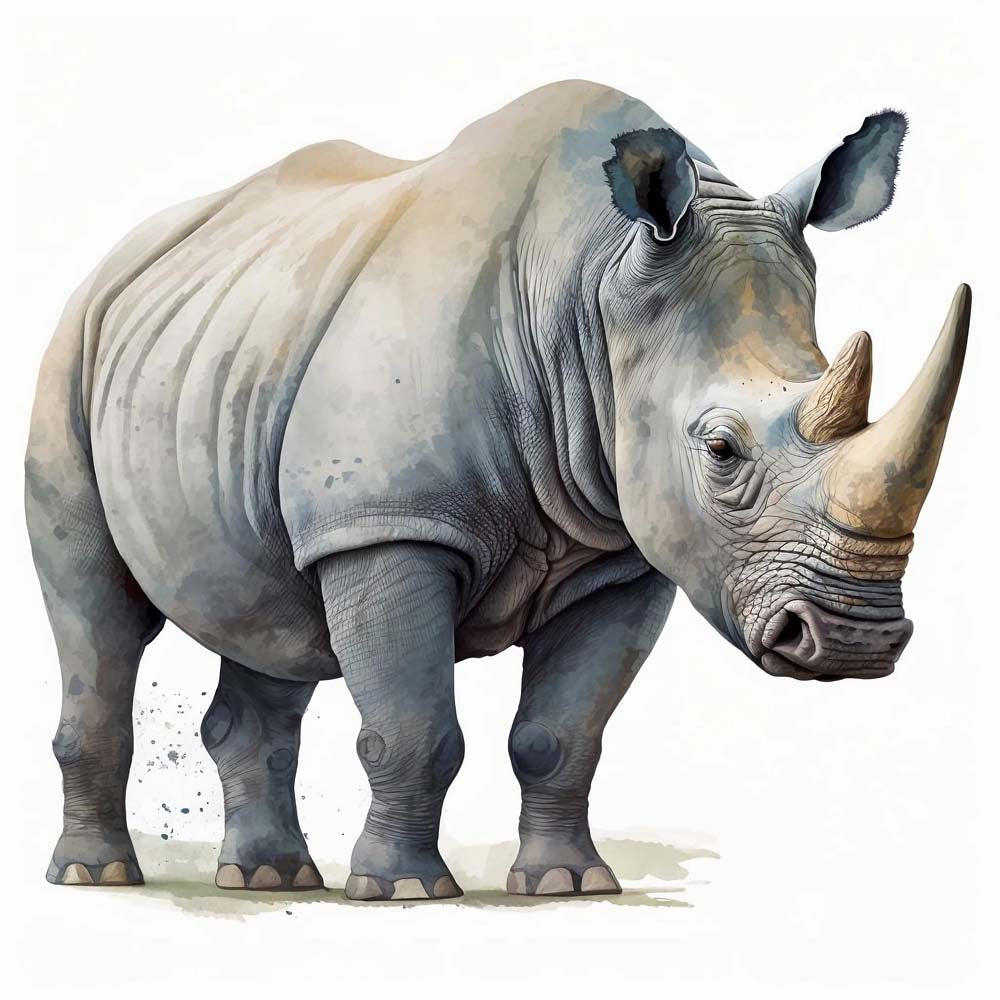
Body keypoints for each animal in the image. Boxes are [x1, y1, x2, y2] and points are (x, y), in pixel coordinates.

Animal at [25, 80, 970, 900]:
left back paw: (265, 879)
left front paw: (568, 885)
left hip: (232, 347)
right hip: (72, 351)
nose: (855, 641)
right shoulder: (390, 523)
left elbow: (564, 734)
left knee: (270, 616)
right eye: (721, 450)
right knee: (100, 610)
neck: (592, 283)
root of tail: (117, 263)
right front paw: (404, 891)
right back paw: (97, 876)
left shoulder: (622, 554)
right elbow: (413, 728)